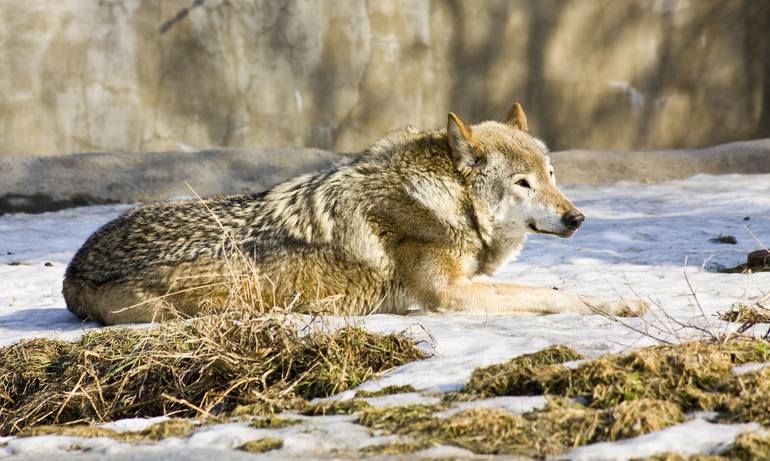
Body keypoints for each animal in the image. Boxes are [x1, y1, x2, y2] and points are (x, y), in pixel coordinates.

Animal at [63, 101, 644, 324]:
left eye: (551, 174)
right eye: (522, 183)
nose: (577, 219)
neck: (448, 202)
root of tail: (72, 269)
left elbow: (553, 288)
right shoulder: (449, 294)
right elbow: (552, 294)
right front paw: (615, 305)